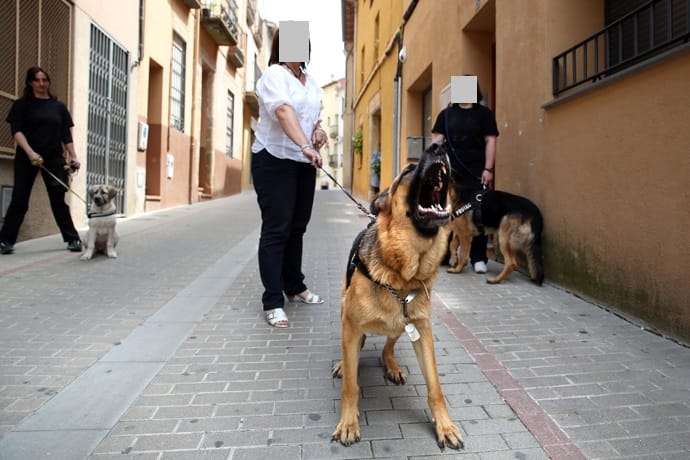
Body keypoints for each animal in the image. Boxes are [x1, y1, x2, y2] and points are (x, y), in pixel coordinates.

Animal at [330, 143, 460, 450]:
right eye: (409, 169)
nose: (438, 145)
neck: (402, 275)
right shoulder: (351, 326)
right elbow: (350, 386)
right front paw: (348, 423)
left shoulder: (422, 330)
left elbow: (435, 387)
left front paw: (445, 426)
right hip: (344, 314)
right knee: (352, 351)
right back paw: (343, 363)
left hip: (402, 326)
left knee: (388, 346)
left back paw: (391, 365)